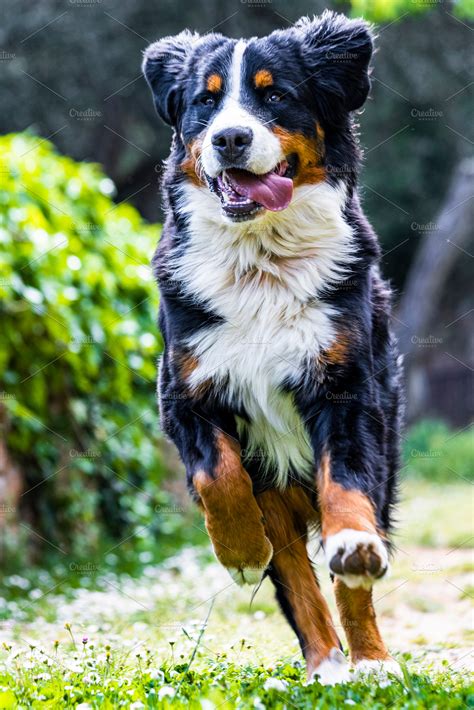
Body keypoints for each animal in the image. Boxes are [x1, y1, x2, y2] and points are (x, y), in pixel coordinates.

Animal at [143, 11, 402, 688]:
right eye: (205, 101)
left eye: (275, 95)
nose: (231, 138)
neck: (260, 259)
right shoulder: (184, 390)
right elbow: (218, 475)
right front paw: (239, 551)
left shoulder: (345, 391)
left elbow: (346, 491)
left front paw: (352, 548)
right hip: (275, 491)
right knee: (294, 575)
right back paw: (325, 664)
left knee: (344, 575)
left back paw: (367, 661)